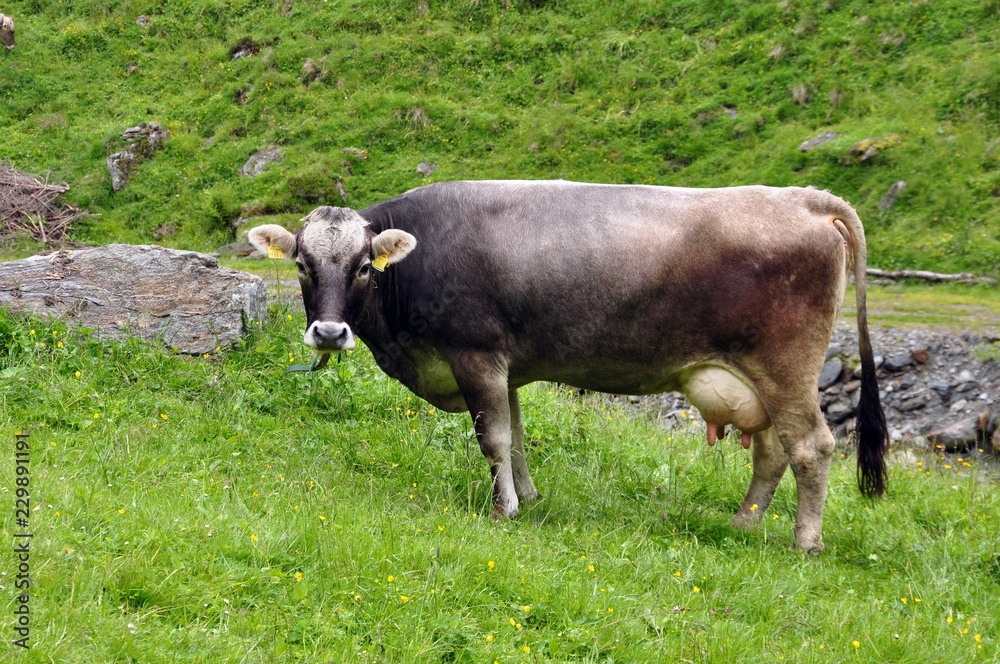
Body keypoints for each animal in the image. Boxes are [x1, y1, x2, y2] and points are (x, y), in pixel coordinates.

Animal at [249, 180, 888, 553]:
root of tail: (803, 197)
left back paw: (805, 542)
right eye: (302, 264)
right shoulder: (506, 369)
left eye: (363, 266)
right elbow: (517, 437)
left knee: (811, 447)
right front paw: (529, 498)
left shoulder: (475, 354)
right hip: (759, 380)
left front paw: (504, 509)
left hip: (787, 368)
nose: (329, 332)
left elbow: (493, 439)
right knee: (773, 451)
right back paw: (744, 525)